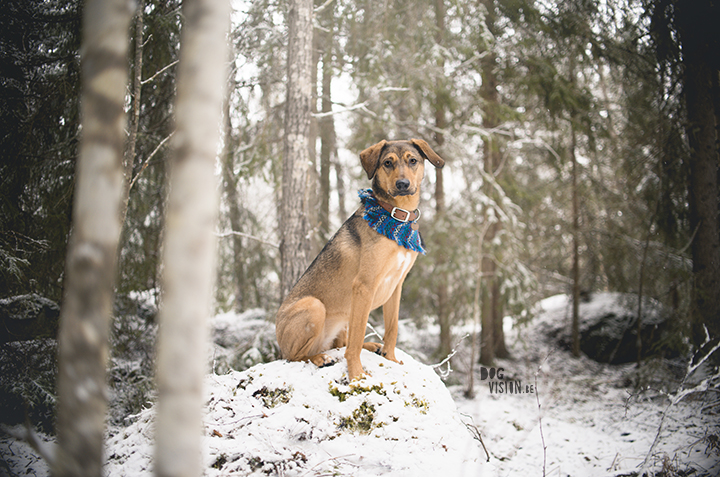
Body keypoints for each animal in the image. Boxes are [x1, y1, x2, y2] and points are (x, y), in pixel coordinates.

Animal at [276, 138, 444, 380]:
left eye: (413, 160)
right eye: (387, 163)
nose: (403, 184)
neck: (396, 215)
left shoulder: (396, 285)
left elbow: (391, 329)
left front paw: (391, 359)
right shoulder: (364, 286)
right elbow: (356, 339)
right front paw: (356, 374)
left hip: (344, 316)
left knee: (340, 343)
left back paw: (372, 346)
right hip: (313, 306)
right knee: (295, 356)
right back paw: (319, 358)